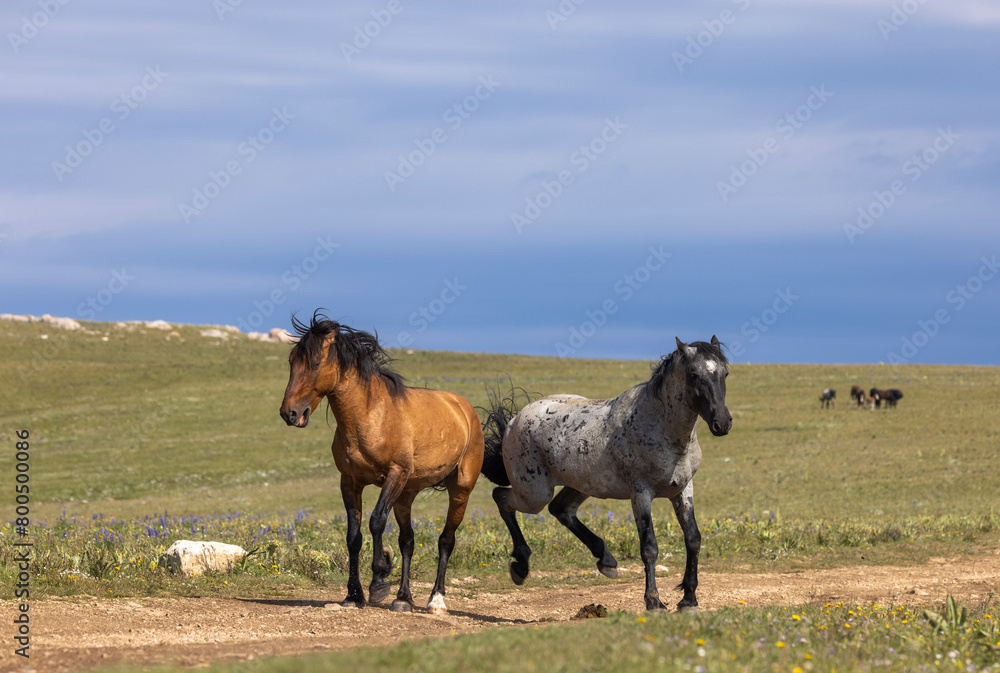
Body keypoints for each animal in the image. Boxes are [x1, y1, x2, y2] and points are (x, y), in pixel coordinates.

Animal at [279, 312, 484, 614]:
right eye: (292, 361)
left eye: (315, 363)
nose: (289, 413)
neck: (371, 416)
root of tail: (465, 409)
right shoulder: (350, 481)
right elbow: (353, 536)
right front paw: (354, 594)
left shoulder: (394, 474)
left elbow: (376, 522)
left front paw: (378, 581)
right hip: (406, 495)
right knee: (407, 541)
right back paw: (403, 598)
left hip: (460, 490)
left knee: (446, 540)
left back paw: (436, 599)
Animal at [480, 336, 732, 611]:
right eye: (694, 374)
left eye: (725, 373)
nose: (722, 422)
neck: (662, 429)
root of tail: (514, 421)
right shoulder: (641, 492)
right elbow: (649, 547)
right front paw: (654, 601)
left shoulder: (683, 489)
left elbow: (693, 539)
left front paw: (689, 598)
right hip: (534, 494)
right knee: (502, 498)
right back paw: (521, 566)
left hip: (581, 486)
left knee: (561, 509)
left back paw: (605, 560)